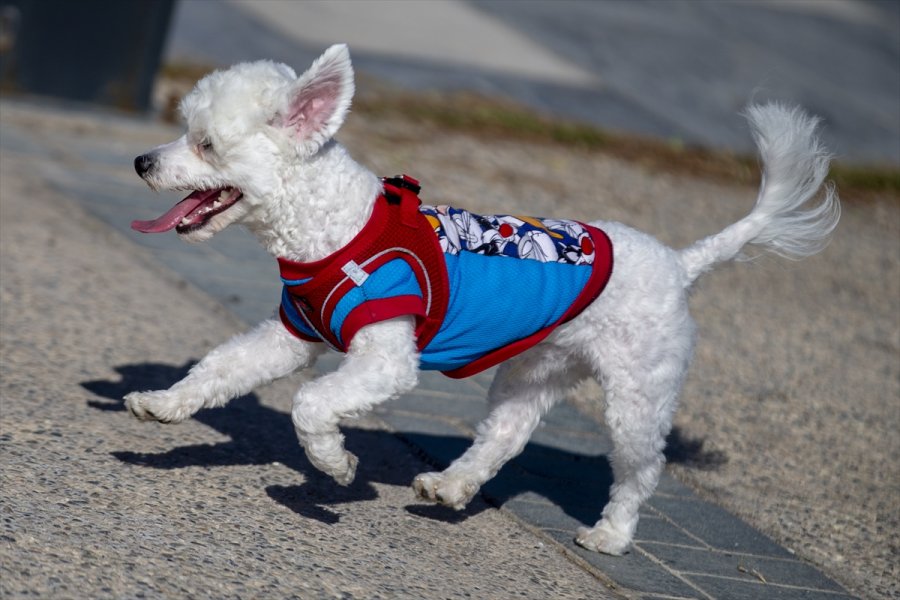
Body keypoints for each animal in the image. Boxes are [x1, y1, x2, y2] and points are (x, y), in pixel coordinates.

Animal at [123, 44, 840, 556]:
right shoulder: (292, 335)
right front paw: (166, 403)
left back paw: (611, 535)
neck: (339, 229)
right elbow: (221, 369)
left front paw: (335, 464)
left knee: (640, 469)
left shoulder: (387, 359)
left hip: (639, 393)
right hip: (534, 370)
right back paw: (451, 484)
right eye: (183, 130)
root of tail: (678, 263)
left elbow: (310, 404)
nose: (141, 162)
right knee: (507, 433)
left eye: (206, 144)